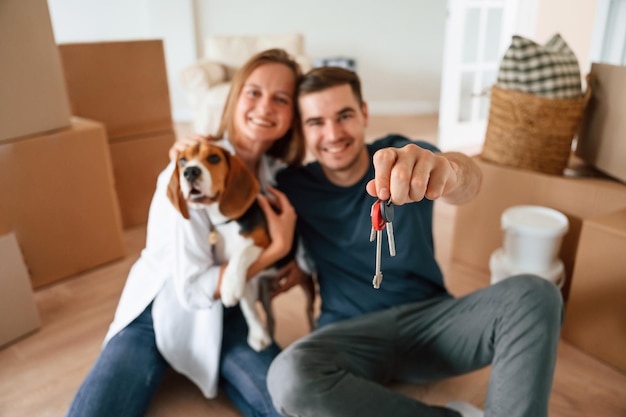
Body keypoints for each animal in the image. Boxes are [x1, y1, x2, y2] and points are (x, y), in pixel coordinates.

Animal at [166, 142, 314, 352]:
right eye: (182, 160)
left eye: (214, 158)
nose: (190, 172)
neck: (226, 222)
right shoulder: (249, 277)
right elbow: (248, 306)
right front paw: (258, 335)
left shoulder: (264, 242)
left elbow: (241, 254)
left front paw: (229, 287)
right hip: (265, 290)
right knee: (271, 317)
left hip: (307, 284)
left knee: (309, 311)